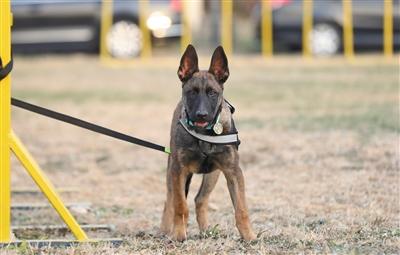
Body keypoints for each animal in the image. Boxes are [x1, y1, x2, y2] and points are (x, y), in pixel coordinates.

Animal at [160, 44, 256, 242]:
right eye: (192, 92)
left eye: (213, 93)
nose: (201, 115)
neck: (203, 135)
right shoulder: (179, 170)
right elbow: (180, 206)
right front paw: (179, 234)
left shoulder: (233, 171)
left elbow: (241, 209)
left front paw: (249, 236)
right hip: (172, 172)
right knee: (170, 200)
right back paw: (165, 230)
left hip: (213, 174)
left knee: (200, 199)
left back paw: (206, 231)